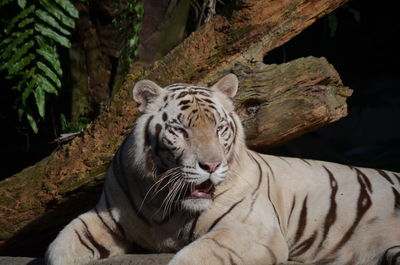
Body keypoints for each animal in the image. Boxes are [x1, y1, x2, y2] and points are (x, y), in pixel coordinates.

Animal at [45, 73, 400, 262]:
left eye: (219, 129)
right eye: (180, 130)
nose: (211, 164)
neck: (167, 208)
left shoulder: (250, 229)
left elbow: (193, 256)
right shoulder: (106, 217)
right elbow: (57, 248)